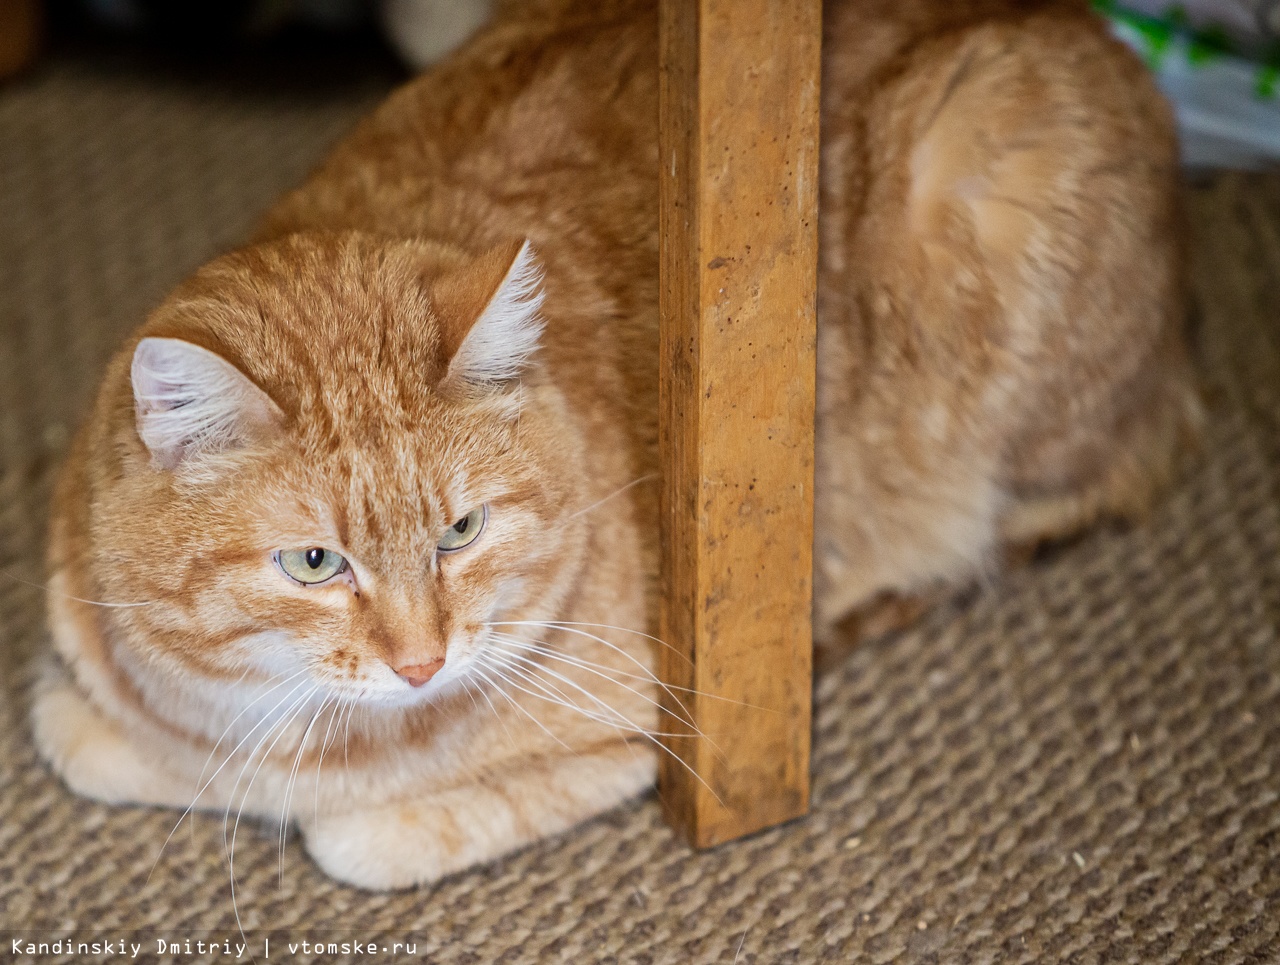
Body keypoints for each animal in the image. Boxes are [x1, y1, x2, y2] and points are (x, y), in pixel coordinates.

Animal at [32, 0, 1198, 885]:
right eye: (315, 561)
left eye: (461, 531)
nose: (421, 663)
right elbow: (78, 735)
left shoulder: (664, 729)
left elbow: (356, 836)